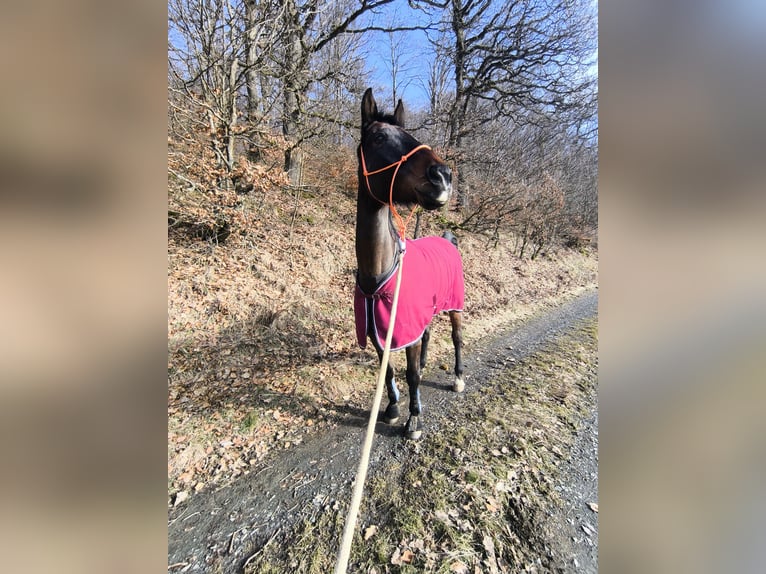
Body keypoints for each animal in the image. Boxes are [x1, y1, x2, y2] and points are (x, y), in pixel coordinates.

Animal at [353, 88, 465, 440]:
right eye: (377, 137)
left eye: (409, 134)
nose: (442, 176)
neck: (379, 276)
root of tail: (448, 239)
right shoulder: (380, 330)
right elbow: (388, 370)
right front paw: (391, 408)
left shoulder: (404, 328)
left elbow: (411, 373)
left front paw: (414, 419)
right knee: (427, 336)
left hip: (455, 306)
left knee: (457, 338)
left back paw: (458, 377)